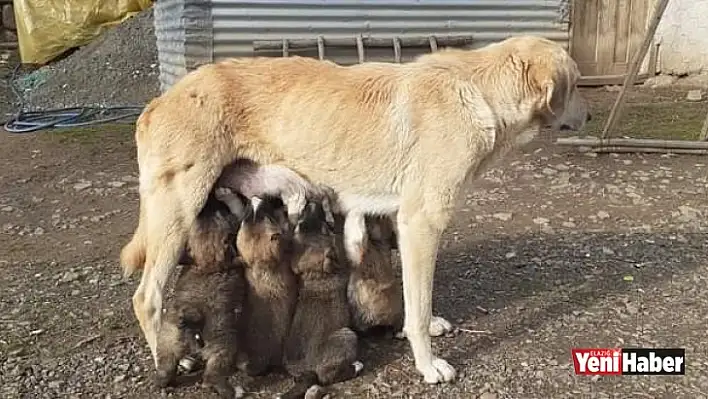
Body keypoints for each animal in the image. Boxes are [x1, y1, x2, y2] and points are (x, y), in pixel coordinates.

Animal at [155, 193, 246, 396]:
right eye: (222, 212)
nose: (207, 204)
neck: (207, 262)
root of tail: (192, 317)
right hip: (222, 342)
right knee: (214, 371)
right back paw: (227, 390)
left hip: (169, 336)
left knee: (166, 363)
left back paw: (162, 381)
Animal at [280, 203, 362, 399]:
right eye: (326, 230)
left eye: (299, 225)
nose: (311, 203)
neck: (316, 274)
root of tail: (307, 371)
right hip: (347, 334)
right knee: (327, 377)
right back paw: (356, 367)